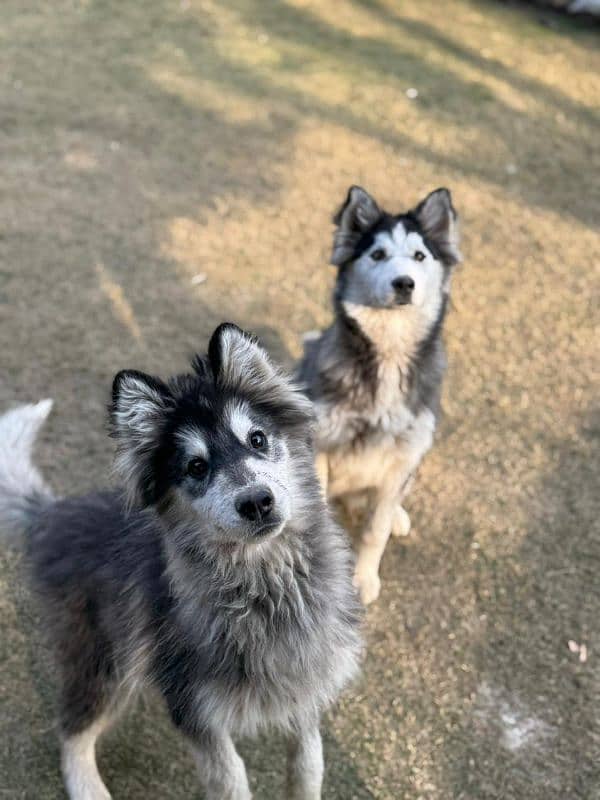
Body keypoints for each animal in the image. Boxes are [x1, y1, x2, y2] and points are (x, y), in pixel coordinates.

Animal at [1, 324, 360, 800]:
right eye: (195, 467)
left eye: (257, 439)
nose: (257, 503)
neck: (263, 585)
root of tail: (57, 514)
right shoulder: (193, 706)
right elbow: (231, 777)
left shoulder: (304, 683)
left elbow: (308, 763)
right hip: (109, 658)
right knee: (73, 730)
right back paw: (88, 785)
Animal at [298, 184, 462, 604]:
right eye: (377, 255)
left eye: (420, 256)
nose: (404, 283)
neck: (387, 355)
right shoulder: (320, 445)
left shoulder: (403, 456)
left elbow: (377, 529)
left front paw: (364, 578)